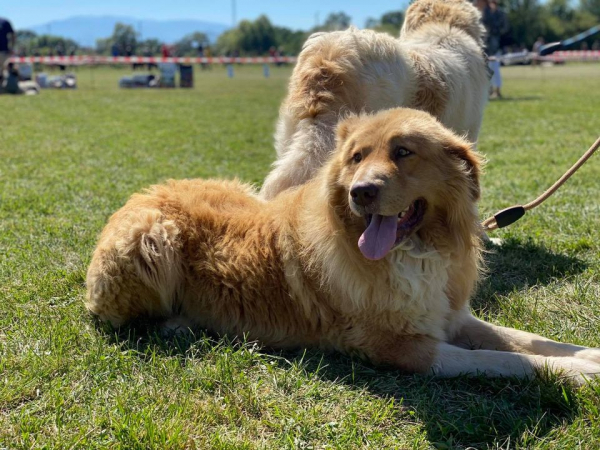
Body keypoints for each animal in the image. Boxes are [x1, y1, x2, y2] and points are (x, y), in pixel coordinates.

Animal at [85, 109, 600, 384]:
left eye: (403, 152)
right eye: (356, 158)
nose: (361, 192)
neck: (413, 253)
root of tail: (141, 195)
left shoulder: (450, 315)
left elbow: (526, 340)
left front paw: (584, 355)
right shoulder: (401, 347)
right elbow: (502, 360)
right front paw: (575, 373)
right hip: (152, 239)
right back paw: (178, 324)